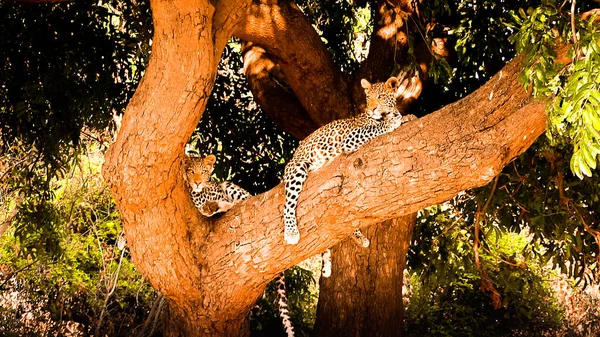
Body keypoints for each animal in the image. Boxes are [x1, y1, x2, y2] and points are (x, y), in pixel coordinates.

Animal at [183, 154, 296, 334]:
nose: (197, 182)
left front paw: (213, 203)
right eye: (191, 171)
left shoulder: (217, 191)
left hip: (232, 187)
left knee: (242, 201)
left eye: (204, 172)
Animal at [282, 76, 418, 244]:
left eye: (380, 96)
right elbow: (375, 128)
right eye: (368, 97)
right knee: (288, 203)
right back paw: (291, 232)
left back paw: (360, 238)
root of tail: (295, 153)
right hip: (297, 167)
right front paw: (392, 122)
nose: (372, 109)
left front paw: (408, 117)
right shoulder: (351, 138)